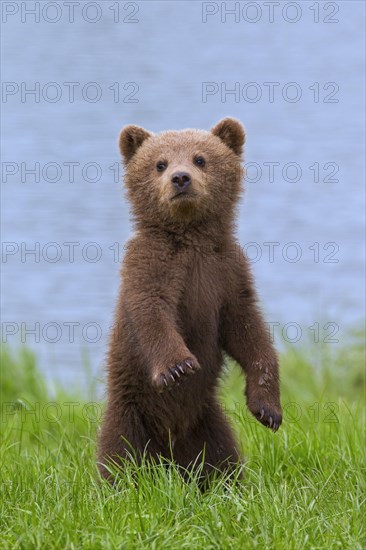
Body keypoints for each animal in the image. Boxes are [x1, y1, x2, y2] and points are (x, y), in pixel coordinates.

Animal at [96, 117, 280, 484]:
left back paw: (223, 483)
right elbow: (152, 311)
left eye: (200, 159)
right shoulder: (152, 265)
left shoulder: (226, 274)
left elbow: (248, 330)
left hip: (207, 422)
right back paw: (121, 483)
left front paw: (268, 409)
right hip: (129, 413)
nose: (180, 178)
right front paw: (178, 367)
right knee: (119, 454)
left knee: (223, 456)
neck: (190, 237)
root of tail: (170, 453)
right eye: (160, 163)